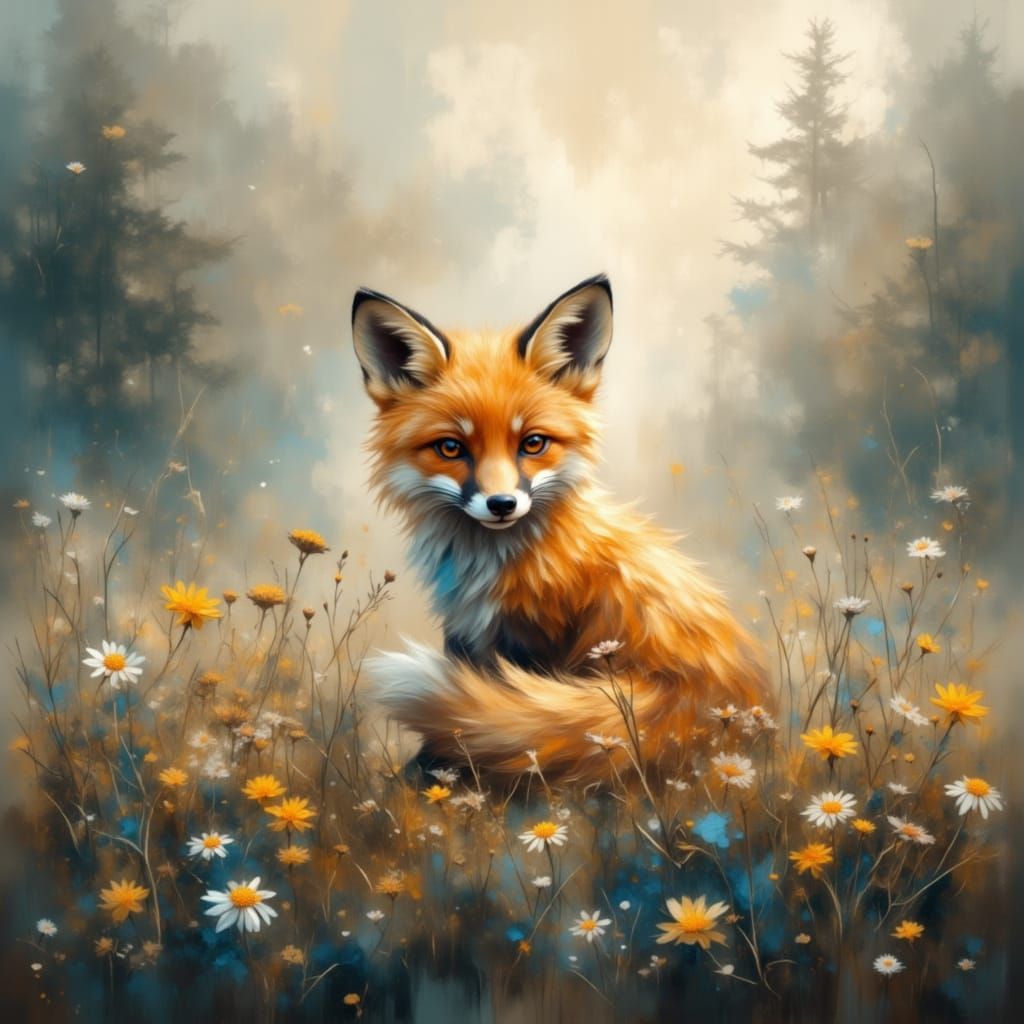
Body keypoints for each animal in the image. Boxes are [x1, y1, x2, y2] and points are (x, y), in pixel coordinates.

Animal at [351, 274, 768, 782]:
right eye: (451, 448)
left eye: (533, 443)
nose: (502, 504)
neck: (493, 563)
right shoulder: (468, 635)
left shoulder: (537, 640)